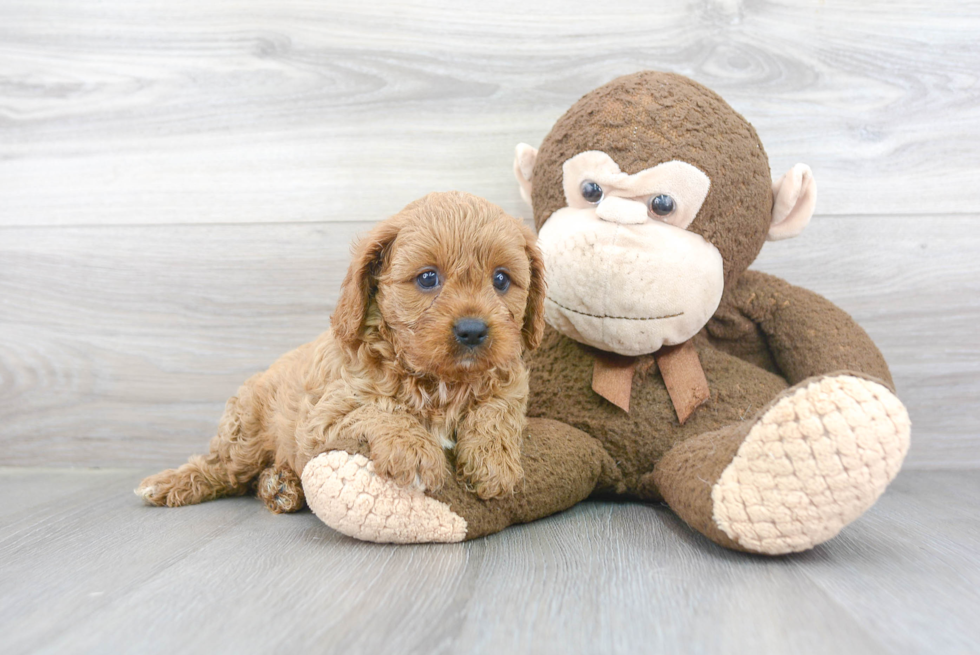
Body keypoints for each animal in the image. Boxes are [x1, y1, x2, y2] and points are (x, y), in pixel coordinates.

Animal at [137, 192, 548, 510]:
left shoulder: (511, 379)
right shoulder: (323, 416)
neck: (441, 380)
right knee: (223, 468)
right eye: (428, 278)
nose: (473, 331)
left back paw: (281, 485)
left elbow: (496, 409)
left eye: (501, 280)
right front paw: (415, 451)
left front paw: (493, 463)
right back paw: (170, 483)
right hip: (246, 434)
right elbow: (381, 410)